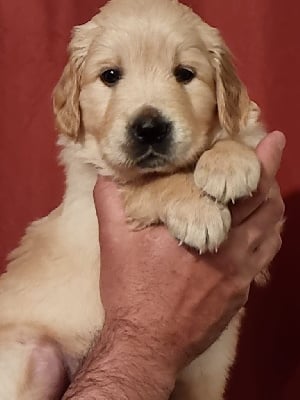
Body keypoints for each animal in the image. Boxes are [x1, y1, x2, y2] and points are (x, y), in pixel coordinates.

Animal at [0, 0, 264, 398]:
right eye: (110, 75)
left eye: (185, 74)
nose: (150, 129)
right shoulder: (96, 181)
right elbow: (146, 183)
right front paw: (198, 212)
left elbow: (237, 135)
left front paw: (228, 162)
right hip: (26, 356)